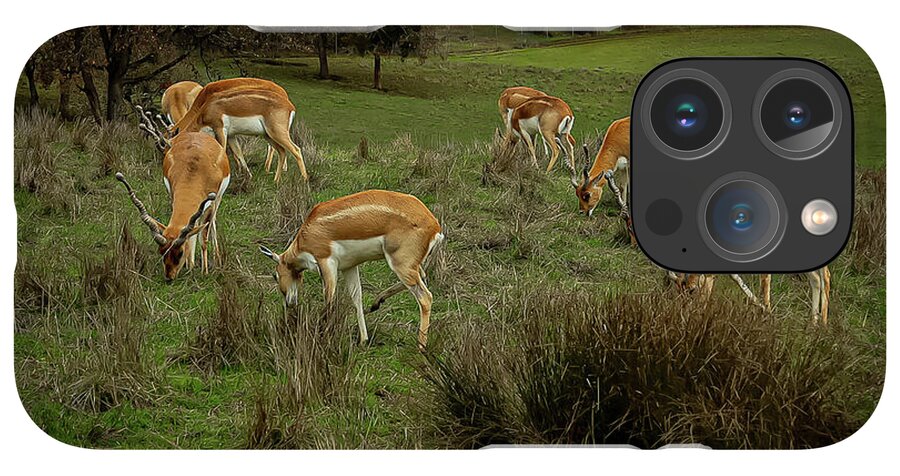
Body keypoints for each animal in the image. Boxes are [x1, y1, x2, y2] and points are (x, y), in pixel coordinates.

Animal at [119, 113, 230, 281]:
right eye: (162, 251)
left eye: (180, 252)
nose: (169, 277)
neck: (194, 171)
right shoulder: (173, 194)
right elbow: (191, 232)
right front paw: (190, 266)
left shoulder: (211, 203)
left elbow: (203, 237)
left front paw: (204, 271)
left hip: (217, 200)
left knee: (211, 224)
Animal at [169, 77, 307, 183]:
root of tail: (290, 106)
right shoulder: (231, 136)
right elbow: (238, 153)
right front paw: (247, 175)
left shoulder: (220, 129)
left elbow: (222, 151)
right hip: (268, 135)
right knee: (282, 151)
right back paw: (276, 180)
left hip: (277, 133)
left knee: (296, 150)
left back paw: (304, 181)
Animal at [259, 190, 444, 350]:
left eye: (275, 275)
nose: (289, 303)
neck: (307, 233)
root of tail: (434, 226)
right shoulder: (349, 267)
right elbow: (356, 298)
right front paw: (363, 340)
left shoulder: (326, 263)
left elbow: (329, 300)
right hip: (409, 265)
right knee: (422, 277)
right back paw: (376, 303)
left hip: (400, 264)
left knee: (425, 297)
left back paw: (421, 346)